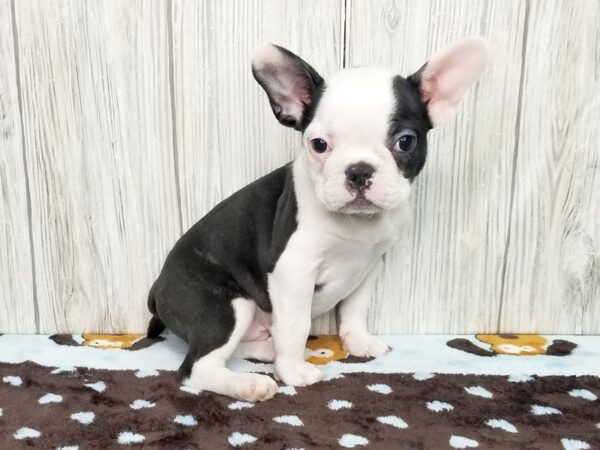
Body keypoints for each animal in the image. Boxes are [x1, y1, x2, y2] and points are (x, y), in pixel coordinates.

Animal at [146, 36, 488, 400]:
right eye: (319, 145)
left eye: (405, 142)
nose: (358, 170)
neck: (356, 224)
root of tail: (158, 288)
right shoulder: (293, 270)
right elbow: (297, 324)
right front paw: (292, 371)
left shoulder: (368, 266)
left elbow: (354, 309)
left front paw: (359, 342)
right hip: (226, 306)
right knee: (196, 367)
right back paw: (250, 383)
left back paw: (267, 352)